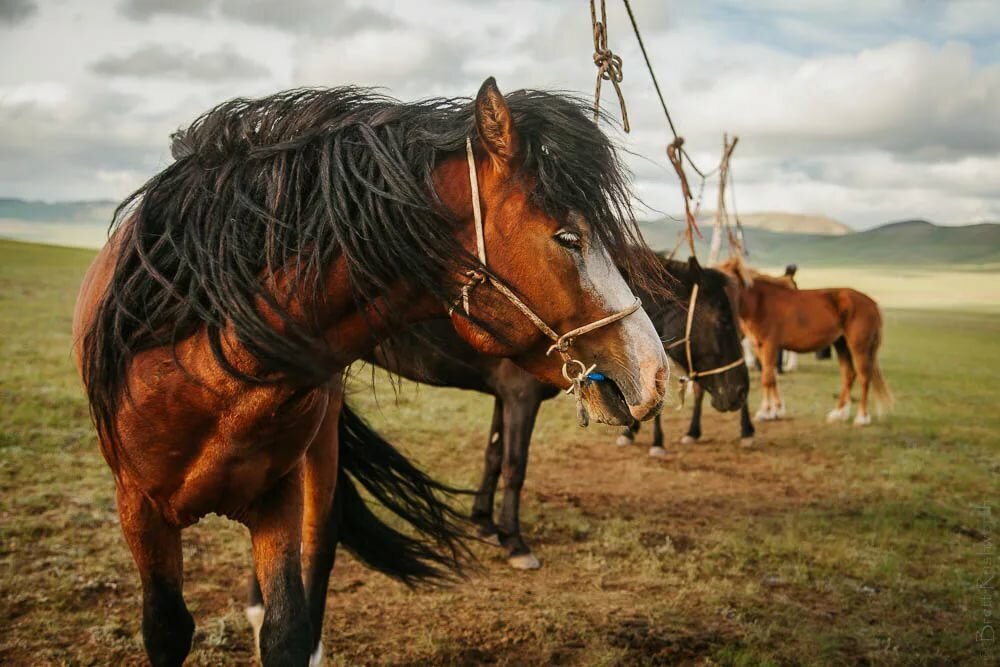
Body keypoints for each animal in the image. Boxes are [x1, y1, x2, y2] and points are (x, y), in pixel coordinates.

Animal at [72, 81, 672, 664]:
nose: (656, 373)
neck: (205, 355)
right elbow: (168, 631)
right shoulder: (139, 511)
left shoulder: (277, 496)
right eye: (568, 237)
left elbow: (288, 629)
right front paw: (510, 540)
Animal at [716, 258, 896, 426]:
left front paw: (765, 413)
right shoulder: (759, 347)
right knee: (848, 375)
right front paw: (776, 410)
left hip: (859, 347)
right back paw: (839, 413)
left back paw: (861, 418)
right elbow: (771, 377)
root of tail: (872, 303)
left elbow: (767, 379)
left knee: (864, 377)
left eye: (732, 281)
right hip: (842, 344)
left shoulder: (769, 345)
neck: (760, 304)